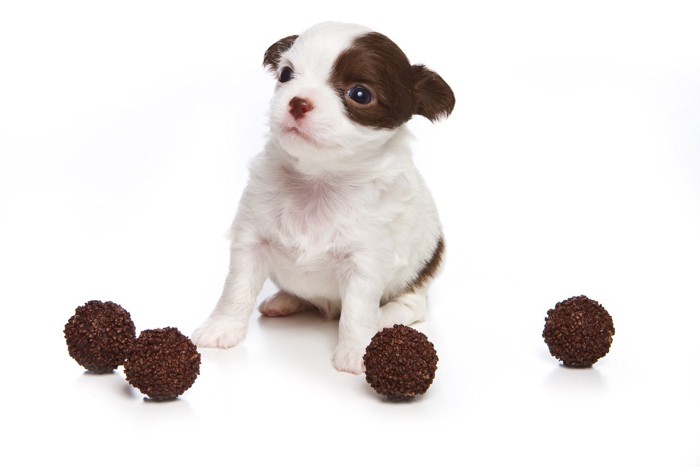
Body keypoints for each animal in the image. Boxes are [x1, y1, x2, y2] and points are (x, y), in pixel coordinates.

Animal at [191, 22, 454, 374]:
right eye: (286, 75)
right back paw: (284, 300)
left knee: (411, 306)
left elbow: (357, 313)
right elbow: (236, 289)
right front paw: (222, 329)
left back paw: (383, 316)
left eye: (360, 94)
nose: (297, 102)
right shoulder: (251, 239)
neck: (319, 180)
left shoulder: (366, 262)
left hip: (419, 277)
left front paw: (356, 355)